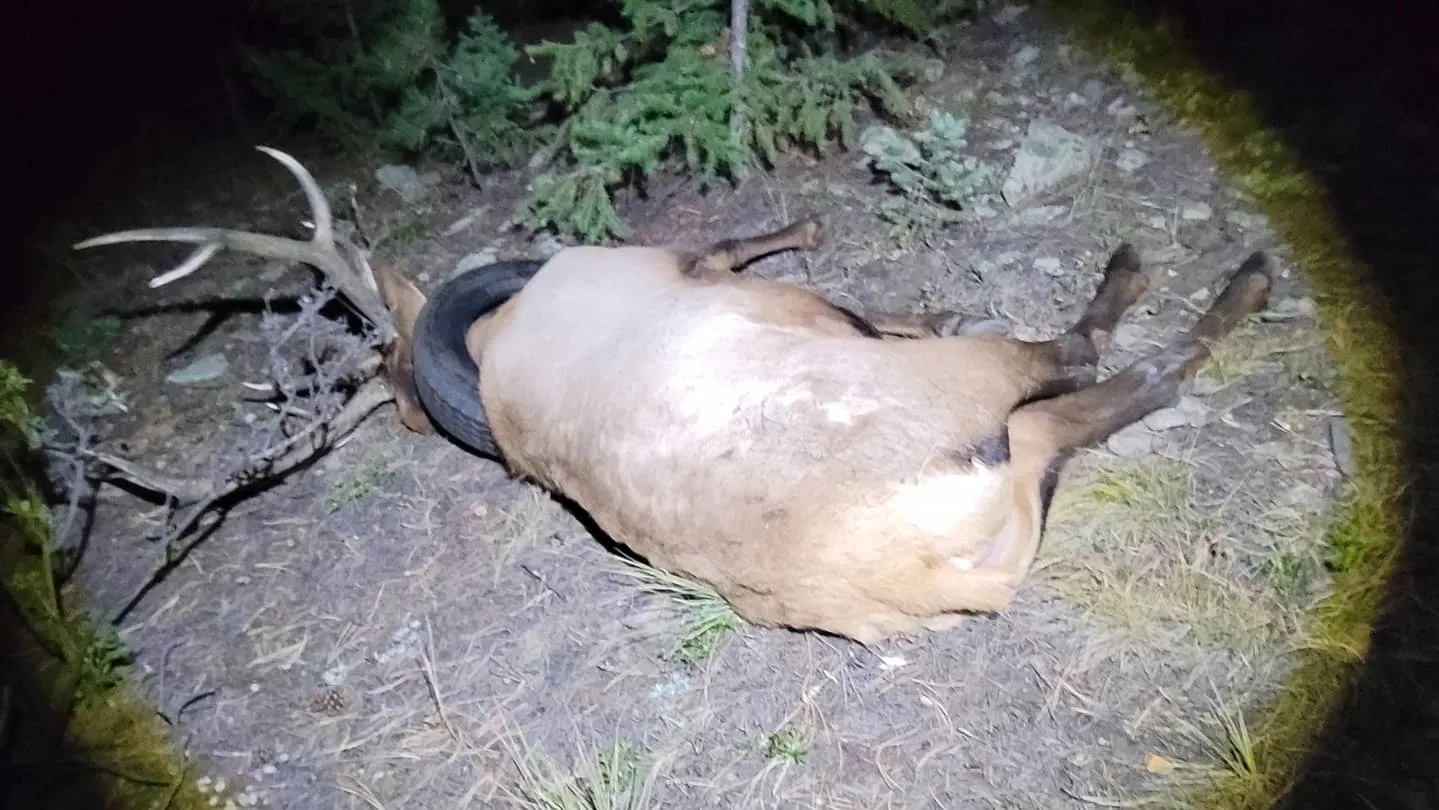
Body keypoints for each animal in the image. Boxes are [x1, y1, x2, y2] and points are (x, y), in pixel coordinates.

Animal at [78, 147, 1272, 647]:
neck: (490, 330)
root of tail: (922, 569)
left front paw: (909, 292)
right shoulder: (683, 268)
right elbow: (752, 247)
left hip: (1010, 479)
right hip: (974, 399)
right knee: (1089, 360)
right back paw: (1217, 279)